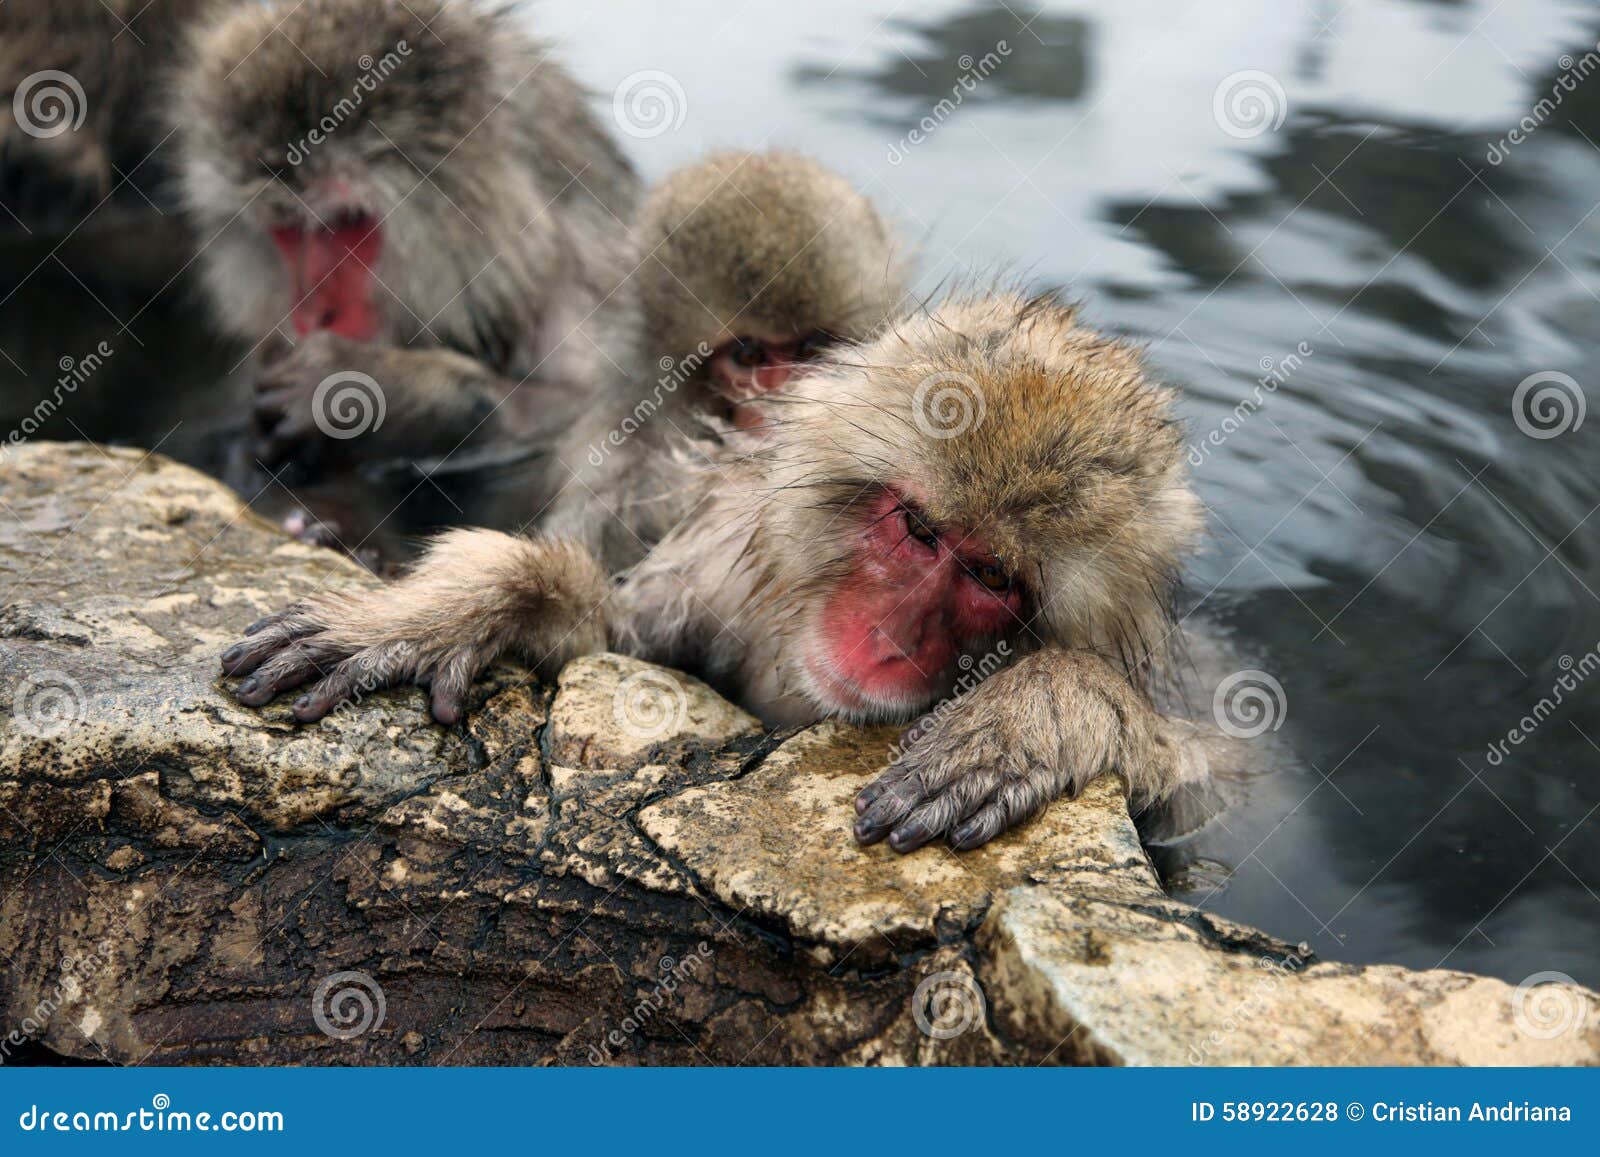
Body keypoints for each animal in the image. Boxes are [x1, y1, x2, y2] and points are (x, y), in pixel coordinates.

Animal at [172, 0, 640, 550]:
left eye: (347, 223)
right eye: (286, 228)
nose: (313, 314)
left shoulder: (584, 279)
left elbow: (605, 409)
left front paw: (387, 389)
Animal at [218, 288, 1215, 852]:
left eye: (994, 578)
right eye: (920, 529)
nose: (890, 636)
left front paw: (1038, 708)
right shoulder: (713, 584)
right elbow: (610, 636)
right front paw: (447, 608)